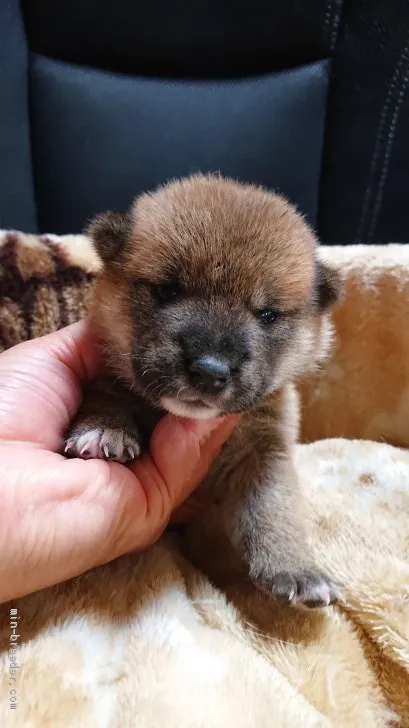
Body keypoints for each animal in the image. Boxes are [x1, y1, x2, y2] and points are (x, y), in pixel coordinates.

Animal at [66, 173, 342, 604]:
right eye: (167, 290)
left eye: (267, 315)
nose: (210, 371)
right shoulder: (105, 369)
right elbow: (106, 394)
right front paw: (103, 430)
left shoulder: (268, 448)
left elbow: (275, 507)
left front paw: (296, 567)